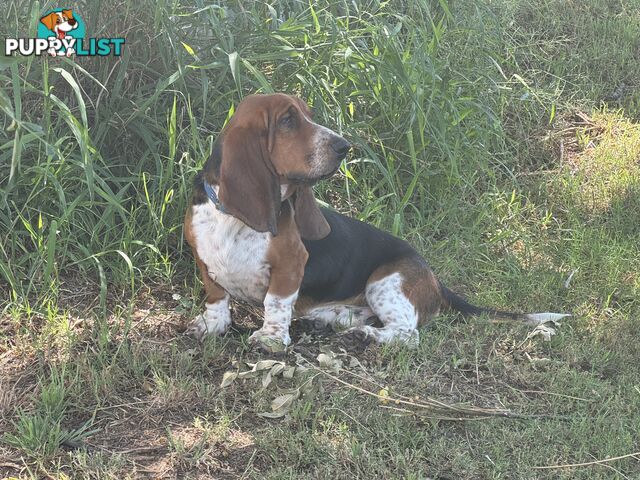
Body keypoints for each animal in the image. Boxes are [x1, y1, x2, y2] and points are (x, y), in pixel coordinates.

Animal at [182, 94, 568, 350]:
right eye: (288, 120)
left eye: (309, 115)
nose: (343, 146)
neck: (232, 219)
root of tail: (435, 280)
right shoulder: (203, 260)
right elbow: (216, 296)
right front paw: (213, 325)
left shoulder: (291, 264)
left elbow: (275, 304)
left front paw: (271, 338)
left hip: (385, 284)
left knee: (407, 334)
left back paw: (365, 333)